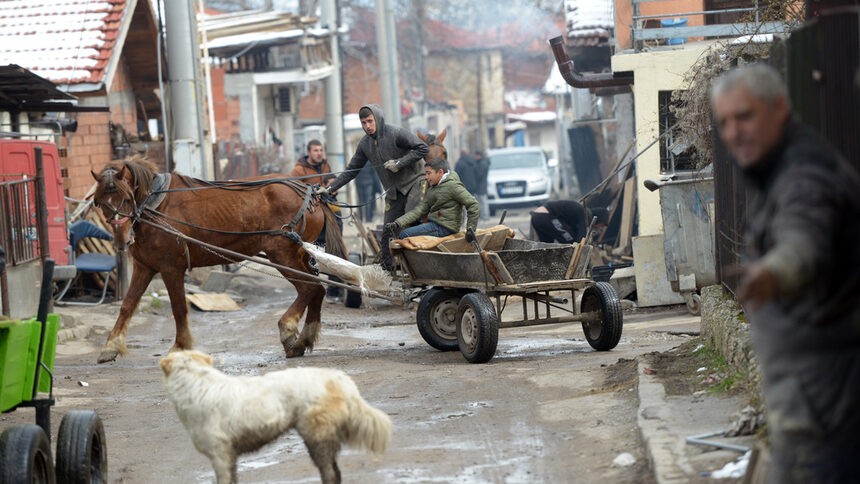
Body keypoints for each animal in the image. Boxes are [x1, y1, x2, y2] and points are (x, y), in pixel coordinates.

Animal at [87, 158, 342, 364]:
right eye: (100, 202)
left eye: (127, 197)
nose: (122, 241)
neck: (156, 206)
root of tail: (310, 194)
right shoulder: (145, 267)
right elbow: (127, 305)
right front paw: (110, 347)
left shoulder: (171, 268)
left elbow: (179, 308)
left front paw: (180, 347)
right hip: (298, 254)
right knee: (317, 290)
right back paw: (303, 339)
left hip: (282, 253)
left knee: (308, 289)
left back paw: (289, 332)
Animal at [160, 352, 392, 484]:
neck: (195, 382)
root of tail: (338, 377)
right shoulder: (230, 456)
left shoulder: (220, 454)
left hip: (315, 437)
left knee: (331, 474)